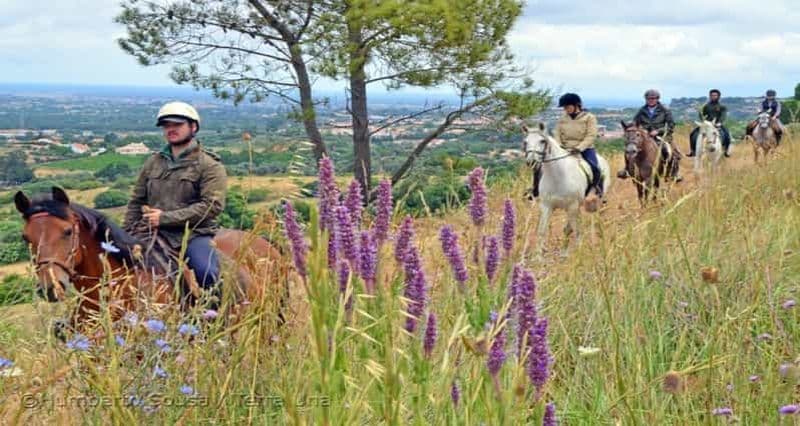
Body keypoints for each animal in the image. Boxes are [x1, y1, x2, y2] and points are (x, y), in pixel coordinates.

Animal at [523, 122, 610, 259]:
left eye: (542, 141)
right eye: (525, 142)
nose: (531, 162)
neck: (557, 176)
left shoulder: (572, 206)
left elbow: (574, 230)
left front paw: (578, 253)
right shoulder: (547, 206)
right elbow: (542, 230)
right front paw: (538, 256)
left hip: (595, 200)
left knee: (593, 219)